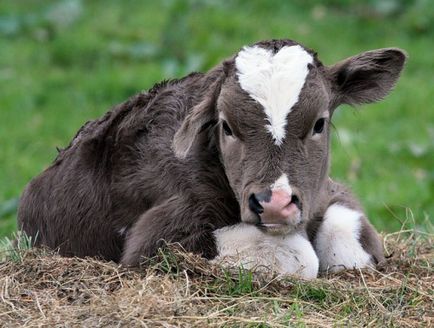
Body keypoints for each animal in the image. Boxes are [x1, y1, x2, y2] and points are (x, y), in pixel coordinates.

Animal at [17, 39, 406, 274]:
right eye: (227, 126)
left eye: (319, 123)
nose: (275, 203)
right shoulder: (155, 240)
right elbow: (301, 256)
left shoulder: (326, 191)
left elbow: (348, 234)